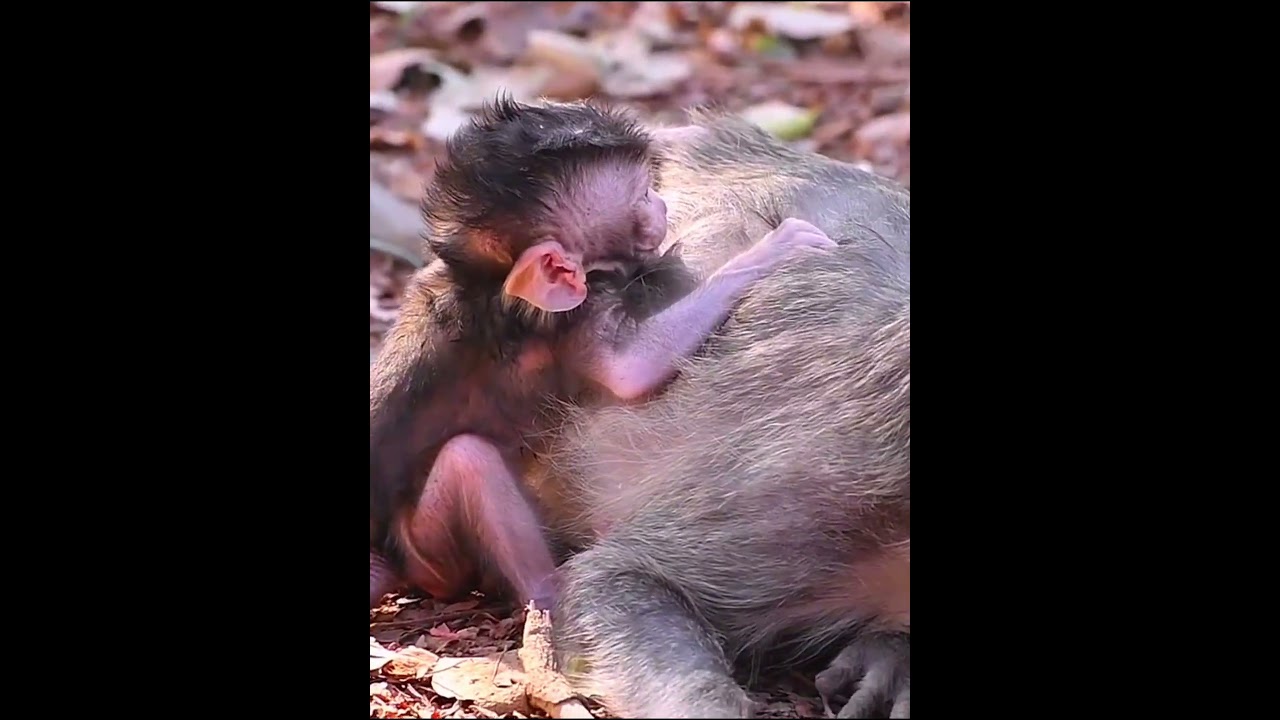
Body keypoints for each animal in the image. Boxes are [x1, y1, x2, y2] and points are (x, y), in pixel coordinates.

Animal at [368, 97, 838, 613]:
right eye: (641, 197)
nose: (660, 203)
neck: (486, 282)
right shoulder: (576, 316)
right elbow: (629, 369)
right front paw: (775, 247)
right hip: (426, 551)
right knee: (469, 460)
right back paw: (549, 589)